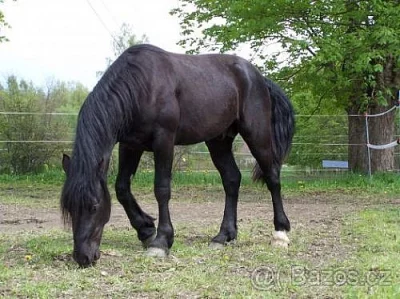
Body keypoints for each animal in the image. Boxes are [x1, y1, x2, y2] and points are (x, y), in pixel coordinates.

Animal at [61, 44, 294, 268]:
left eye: (94, 206)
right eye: (69, 208)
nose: (83, 257)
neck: (141, 85)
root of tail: (259, 77)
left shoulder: (164, 140)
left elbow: (162, 189)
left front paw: (161, 241)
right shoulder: (130, 145)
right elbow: (122, 188)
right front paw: (146, 230)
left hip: (257, 134)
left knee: (272, 177)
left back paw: (280, 234)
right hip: (218, 141)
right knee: (232, 179)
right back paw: (223, 236)